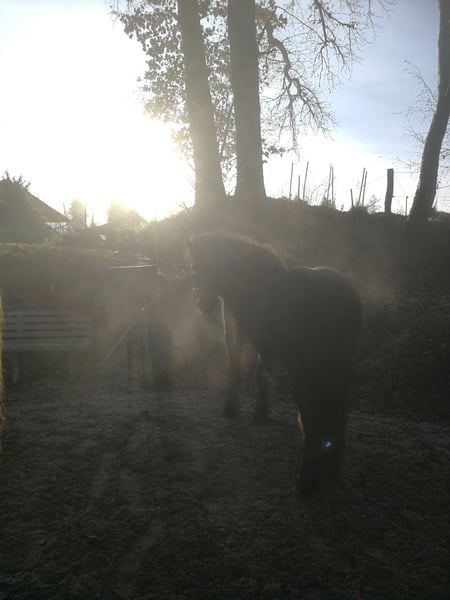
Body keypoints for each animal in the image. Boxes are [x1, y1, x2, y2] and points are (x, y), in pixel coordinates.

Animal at [186, 233, 363, 493]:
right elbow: (261, 376)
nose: (202, 305)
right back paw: (330, 471)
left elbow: (236, 371)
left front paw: (231, 408)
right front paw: (260, 412)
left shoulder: (236, 335)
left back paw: (307, 481)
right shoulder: (265, 346)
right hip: (336, 369)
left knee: (313, 414)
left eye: (196, 268)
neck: (250, 281)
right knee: (334, 413)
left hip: (307, 371)